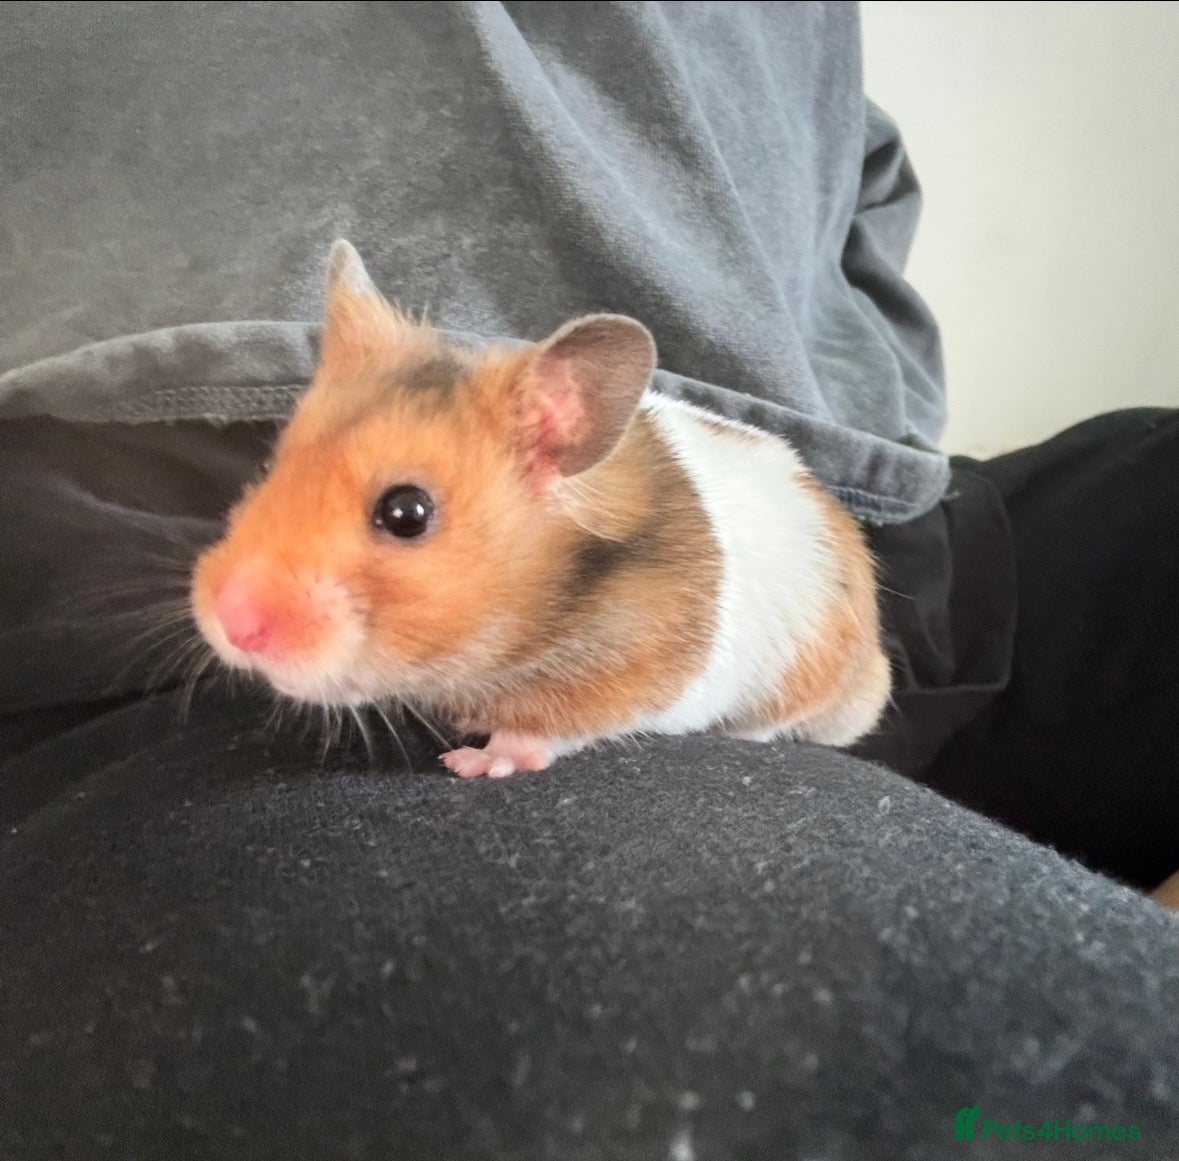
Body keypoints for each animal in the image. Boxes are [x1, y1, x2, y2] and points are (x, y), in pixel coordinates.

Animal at [191, 240, 891, 778]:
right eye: (273, 466)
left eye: (406, 513)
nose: (230, 622)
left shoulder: (629, 672)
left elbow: (543, 729)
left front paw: (472, 763)